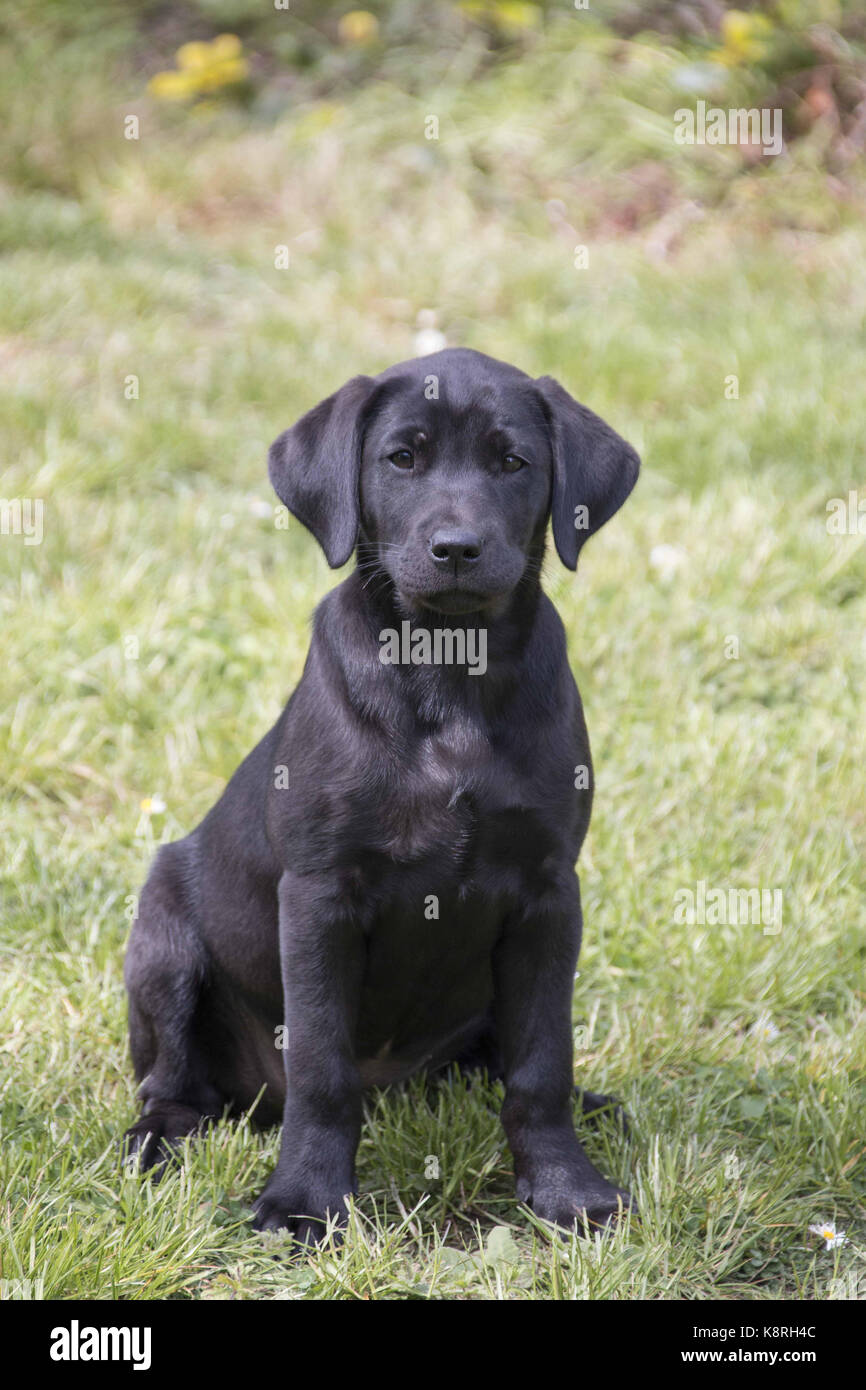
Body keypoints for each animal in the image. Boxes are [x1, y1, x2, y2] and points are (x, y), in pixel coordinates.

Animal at [125, 344, 644, 1239]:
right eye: (402, 458)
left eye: (513, 463)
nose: (457, 547)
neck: (450, 667)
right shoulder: (320, 897)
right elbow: (322, 1068)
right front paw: (306, 1201)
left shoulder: (549, 893)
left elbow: (542, 1062)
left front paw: (566, 1189)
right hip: (160, 939)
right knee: (174, 1087)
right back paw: (156, 1143)